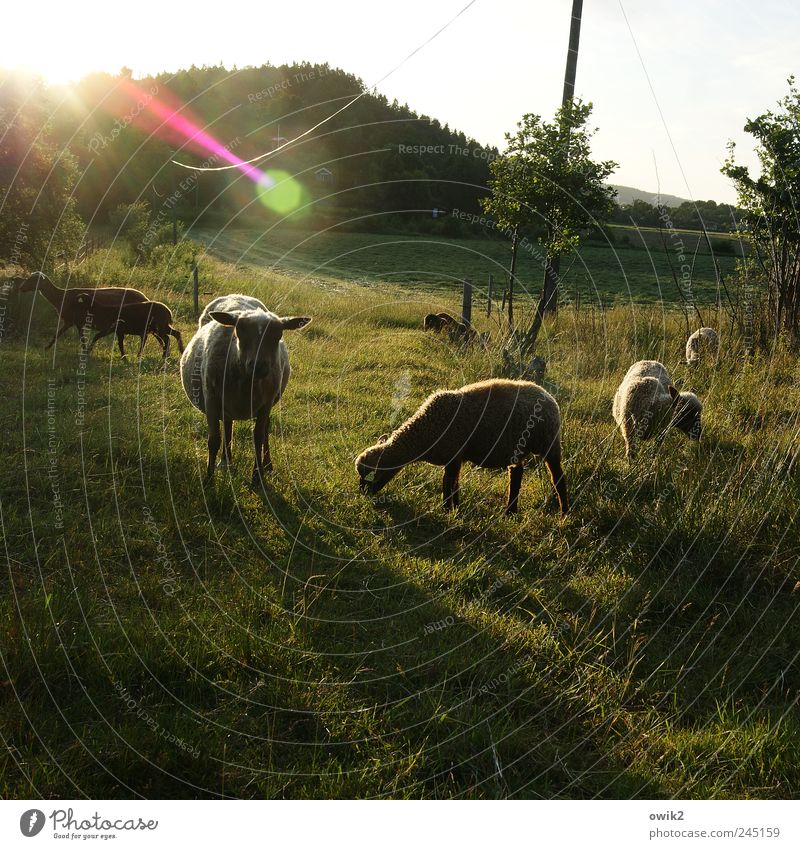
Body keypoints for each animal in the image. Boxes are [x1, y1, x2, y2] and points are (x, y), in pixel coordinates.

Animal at [18, 274, 149, 350]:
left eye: (33, 279)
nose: (21, 287)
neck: (60, 297)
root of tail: (145, 297)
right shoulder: (70, 321)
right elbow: (58, 334)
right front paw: (46, 348)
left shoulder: (76, 321)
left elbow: (81, 339)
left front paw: (85, 351)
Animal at [180, 296, 310, 484]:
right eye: (239, 330)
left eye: (278, 333)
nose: (259, 366)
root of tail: (237, 295)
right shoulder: (211, 397)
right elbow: (214, 440)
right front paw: (209, 480)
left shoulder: (266, 403)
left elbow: (258, 437)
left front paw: (257, 476)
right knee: (228, 425)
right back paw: (225, 460)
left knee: (264, 429)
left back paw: (267, 465)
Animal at [356, 380, 568, 512]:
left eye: (371, 474)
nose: (363, 494)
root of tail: (548, 396)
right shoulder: (455, 458)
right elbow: (453, 484)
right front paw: (454, 508)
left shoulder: (454, 455)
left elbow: (448, 483)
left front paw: (447, 510)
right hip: (517, 448)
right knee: (516, 473)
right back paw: (510, 511)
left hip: (549, 443)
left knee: (558, 478)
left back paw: (564, 513)